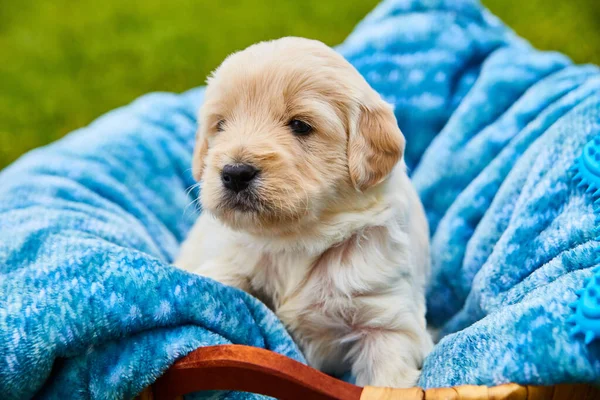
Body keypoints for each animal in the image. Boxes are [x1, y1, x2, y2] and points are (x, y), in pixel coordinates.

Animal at [176, 37, 434, 388]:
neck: (296, 240)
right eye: (221, 125)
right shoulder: (231, 258)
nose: (235, 173)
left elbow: (387, 376)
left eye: (300, 126)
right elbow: (224, 279)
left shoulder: (386, 320)